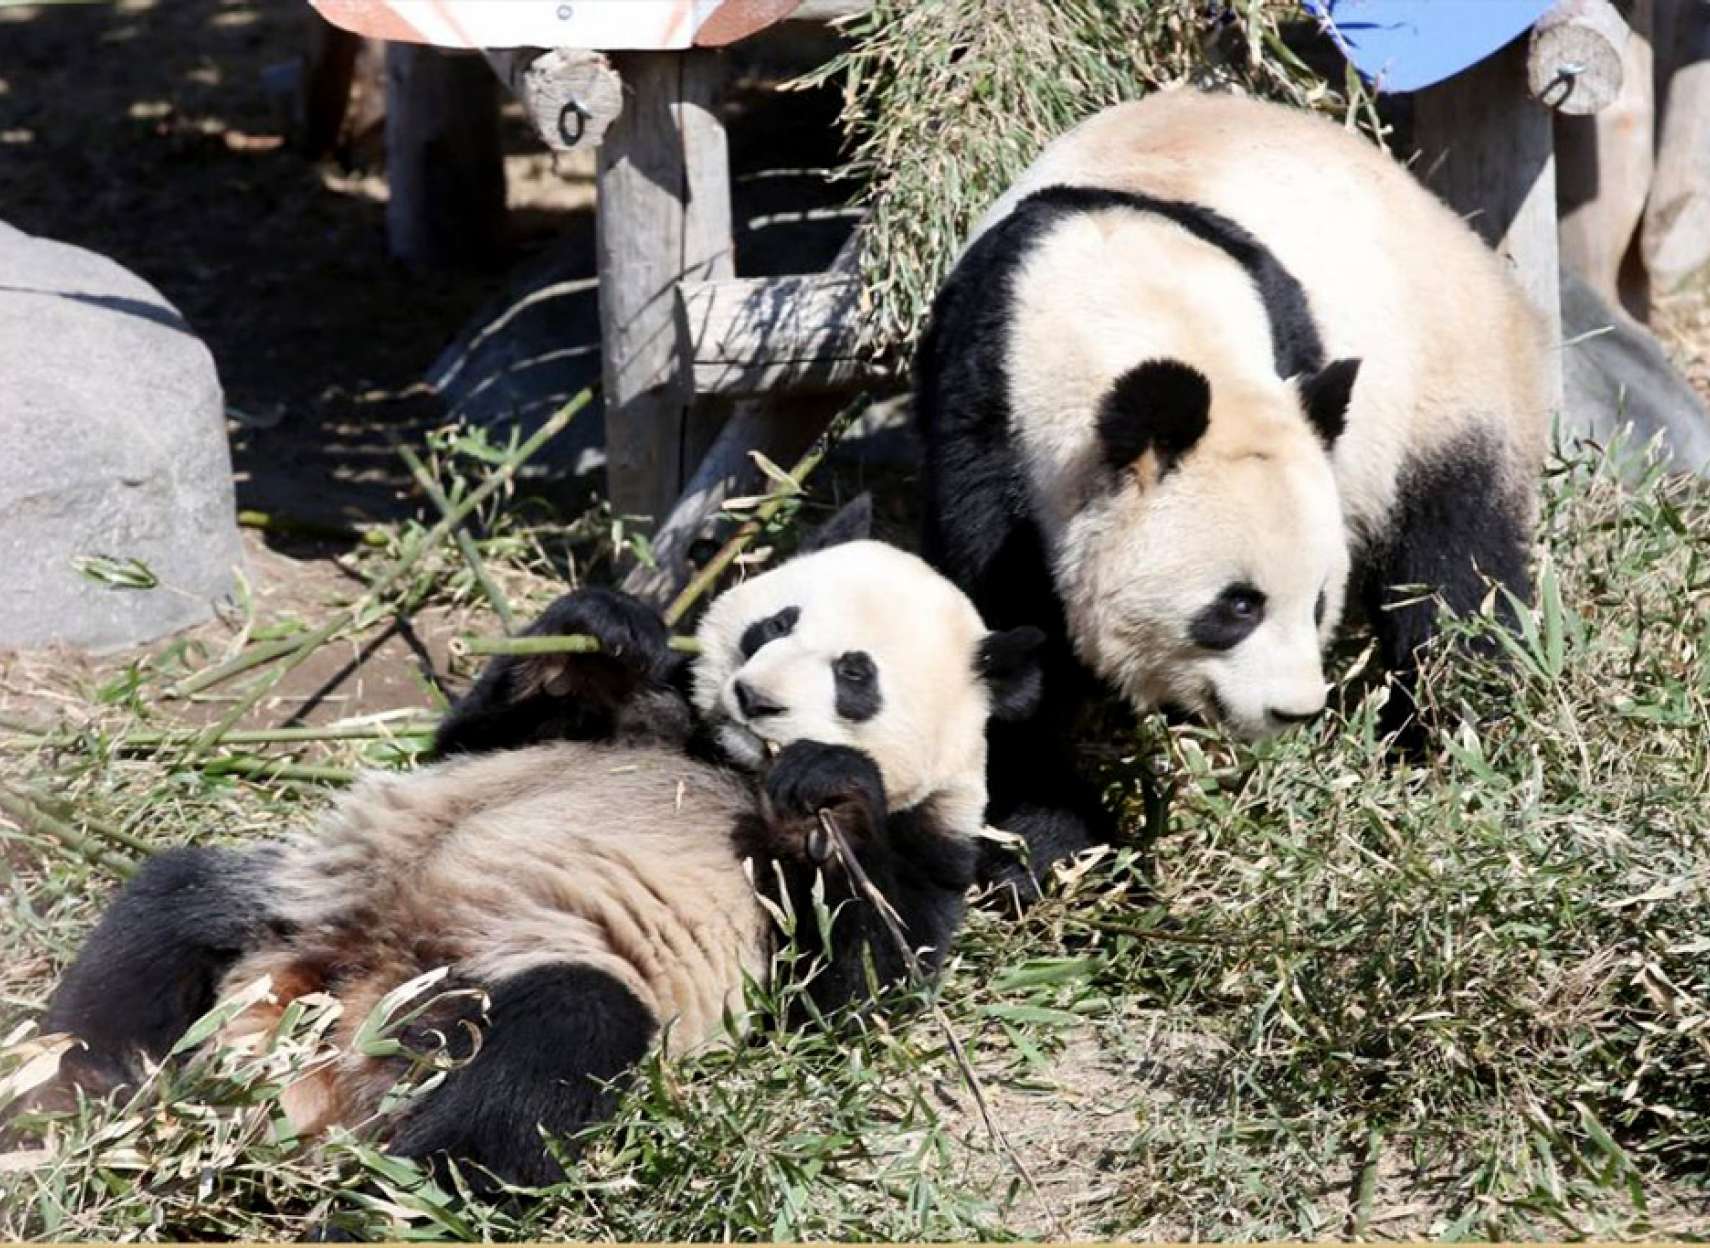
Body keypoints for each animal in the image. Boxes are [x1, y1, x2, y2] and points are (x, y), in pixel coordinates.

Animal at [37, 499, 1045, 1190]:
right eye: (774, 623)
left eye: (855, 676)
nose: (754, 697)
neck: (722, 758)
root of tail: (329, 1028)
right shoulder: (634, 722)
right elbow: (483, 736)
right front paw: (600, 631)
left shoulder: (931, 841)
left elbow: (851, 995)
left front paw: (828, 787)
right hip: (302, 893)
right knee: (170, 907)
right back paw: (59, 1097)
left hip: (496, 980)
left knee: (542, 1062)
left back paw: (394, 1206)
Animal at [914, 89, 1553, 887]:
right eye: (1237, 606)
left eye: (1317, 604)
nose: (1293, 711)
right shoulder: (978, 413)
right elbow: (1001, 636)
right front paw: (1048, 848)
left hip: (1444, 387)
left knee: (1458, 579)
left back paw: (1455, 740)